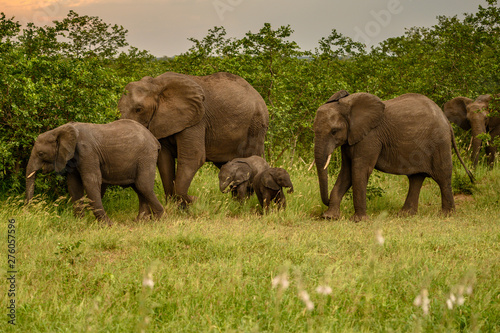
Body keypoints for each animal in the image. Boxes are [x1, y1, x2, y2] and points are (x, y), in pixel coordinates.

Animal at [25, 118, 164, 224]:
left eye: (41, 153)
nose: (28, 212)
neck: (58, 130)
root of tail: (154, 139)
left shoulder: (87, 151)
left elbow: (91, 182)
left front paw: (107, 225)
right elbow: (74, 185)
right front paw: (79, 222)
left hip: (146, 156)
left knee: (143, 186)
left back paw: (158, 218)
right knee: (138, 187)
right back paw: (140, 221)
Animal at [118, 71, 270, 205]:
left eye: (139, 109)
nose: (196, 197)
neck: (156, 85)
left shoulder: (196, 120)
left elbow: (193, 157)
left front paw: (191, 201)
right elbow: (164, 160)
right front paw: (174, 207)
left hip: (256, 126)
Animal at [314, 90, 474, 220]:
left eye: (334, 131)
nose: (326, 201)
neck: (348, 107)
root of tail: (447, 122)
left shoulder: (370, 137)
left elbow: (360, 170)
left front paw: (358, 220)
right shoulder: (351, 138)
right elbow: (346, 172)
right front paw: (330, 217)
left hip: (439, 143)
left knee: (442, 177)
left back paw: (446, 215)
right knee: (416, 178)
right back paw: (405, 215)